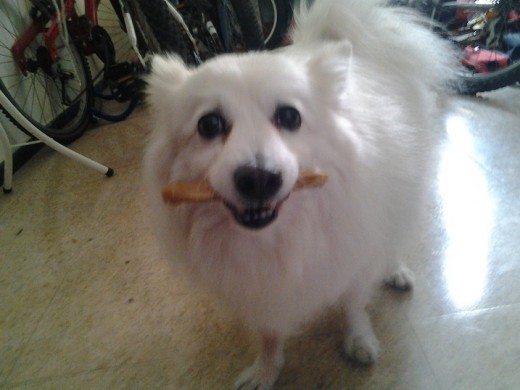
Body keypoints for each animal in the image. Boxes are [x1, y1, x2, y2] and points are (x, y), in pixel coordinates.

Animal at [142, 1, 456, 388]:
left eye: (290, 117)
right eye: (209, 125)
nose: (259, 178)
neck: (276, 237)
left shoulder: (353, 256)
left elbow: (354, 304)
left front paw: (359, 341)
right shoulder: (264, 293)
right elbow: (269, 334)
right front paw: (265, 369)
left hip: (406, 189)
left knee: (394, 232)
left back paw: (395, 270)